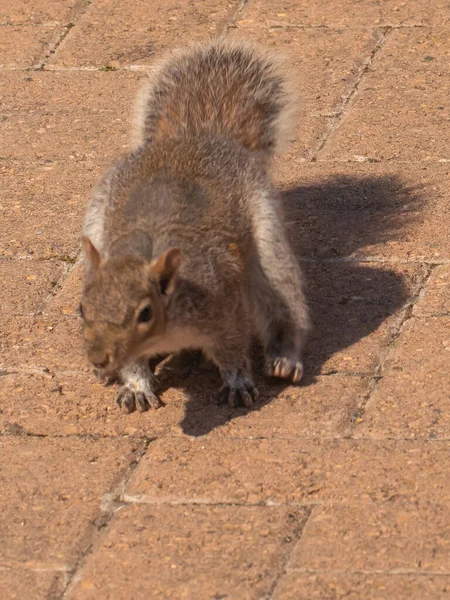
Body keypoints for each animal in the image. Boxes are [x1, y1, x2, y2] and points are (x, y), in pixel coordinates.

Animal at [79, 37, 310, 412]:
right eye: (81, 308)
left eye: (145, 313)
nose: (98, 357)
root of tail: (200, 139)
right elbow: (133, 363)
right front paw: (136, 385)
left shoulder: (223, 306)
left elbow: (233, 348)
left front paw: (237, 383)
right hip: (98, 211)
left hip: (268, 236)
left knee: (282, 302)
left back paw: (284, 358)